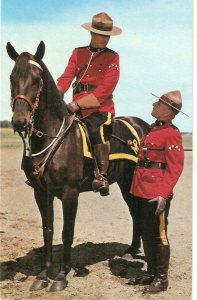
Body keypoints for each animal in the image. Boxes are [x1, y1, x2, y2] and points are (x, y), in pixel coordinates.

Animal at [6, 41, 149, 292]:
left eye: (36, 79)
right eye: (12, 77)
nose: (20, 122)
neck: (52, 136)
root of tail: (143, 124)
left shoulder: (70, 193)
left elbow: (67, 233)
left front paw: (62, 276)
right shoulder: (41, 193)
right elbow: (48, 231)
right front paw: (44, 274)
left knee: (140, 211)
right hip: (125, 183)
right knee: (135, 212)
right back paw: (131, 250)